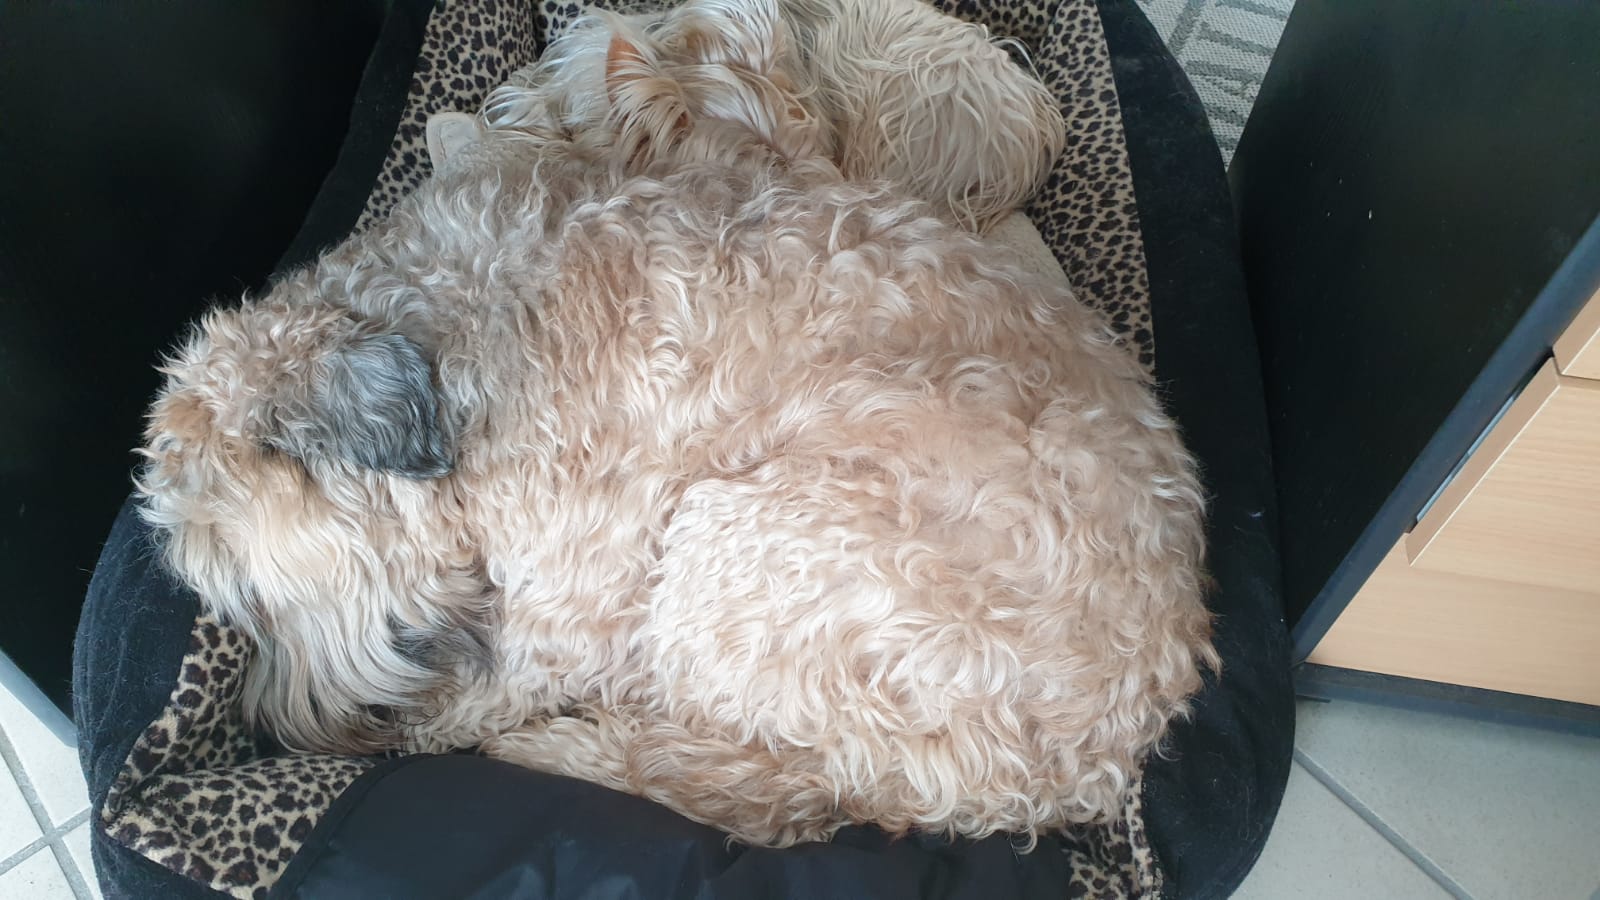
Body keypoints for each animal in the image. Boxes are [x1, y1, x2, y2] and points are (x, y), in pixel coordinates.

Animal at [137, 0, 1216, 848]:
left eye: (244, 592)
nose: (271, 733)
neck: (462, 350)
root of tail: (1084, 770)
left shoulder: (572, 601)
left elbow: (473, 700)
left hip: (742, 543)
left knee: (745, 791)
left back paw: (563, 747)